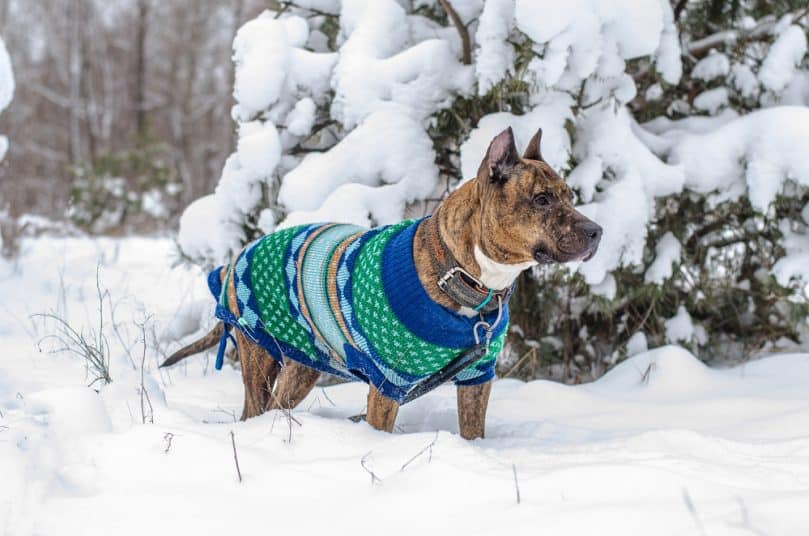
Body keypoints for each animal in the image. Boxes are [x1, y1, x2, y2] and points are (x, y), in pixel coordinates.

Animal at [164, 126, 600, 440]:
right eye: (542, 199)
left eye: (569, 194)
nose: (597, 231)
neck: (459, 273)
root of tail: (235, 260)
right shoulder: (388, 383)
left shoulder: (478, 376)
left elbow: (473, 430)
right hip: (258, 355)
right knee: (255, 406)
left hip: (303, 364)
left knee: (279, 403)